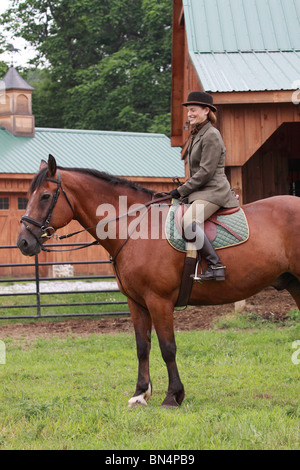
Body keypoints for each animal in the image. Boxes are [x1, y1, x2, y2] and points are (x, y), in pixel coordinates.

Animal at [17, 155, 300, 408]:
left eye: (44, 196)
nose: (23, 242)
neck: (135, 227)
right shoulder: (136, 302)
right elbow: (143, 346)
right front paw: (140, 394)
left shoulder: (159, 301)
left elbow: (167, 348)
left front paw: (173, 396)